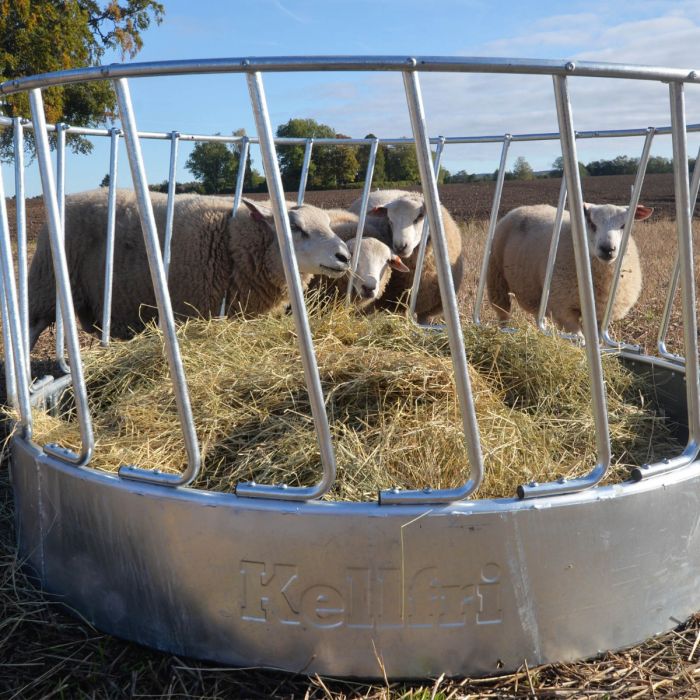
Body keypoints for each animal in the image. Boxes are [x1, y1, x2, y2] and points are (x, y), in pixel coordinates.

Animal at [28, 189, 352, 348]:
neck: (230, 241)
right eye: (295, 228)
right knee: (31, 329)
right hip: (46, 284)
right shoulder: (190, 310)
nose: (344, 256)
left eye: (328, 223)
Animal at [484, 201, 652, 334]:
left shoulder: (601, 315)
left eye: (624, 225)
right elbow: (579, 339)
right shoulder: (564, 309)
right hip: (496, 279)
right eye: (591, 223)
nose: (607, 249)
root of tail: (524, 207)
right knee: (503, 313)